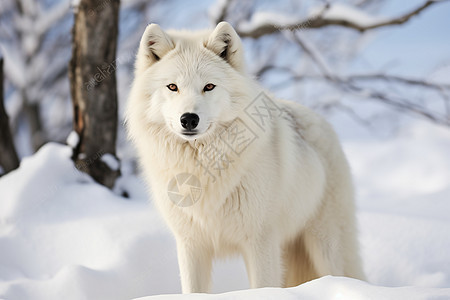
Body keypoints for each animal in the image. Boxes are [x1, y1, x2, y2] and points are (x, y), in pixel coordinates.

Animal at [125, 22, 364, 294]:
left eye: (209, 86)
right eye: (172, 87)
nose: (189, 119)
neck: (204, 166)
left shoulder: (260, 241)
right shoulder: (191, 244)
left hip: (326, 246)